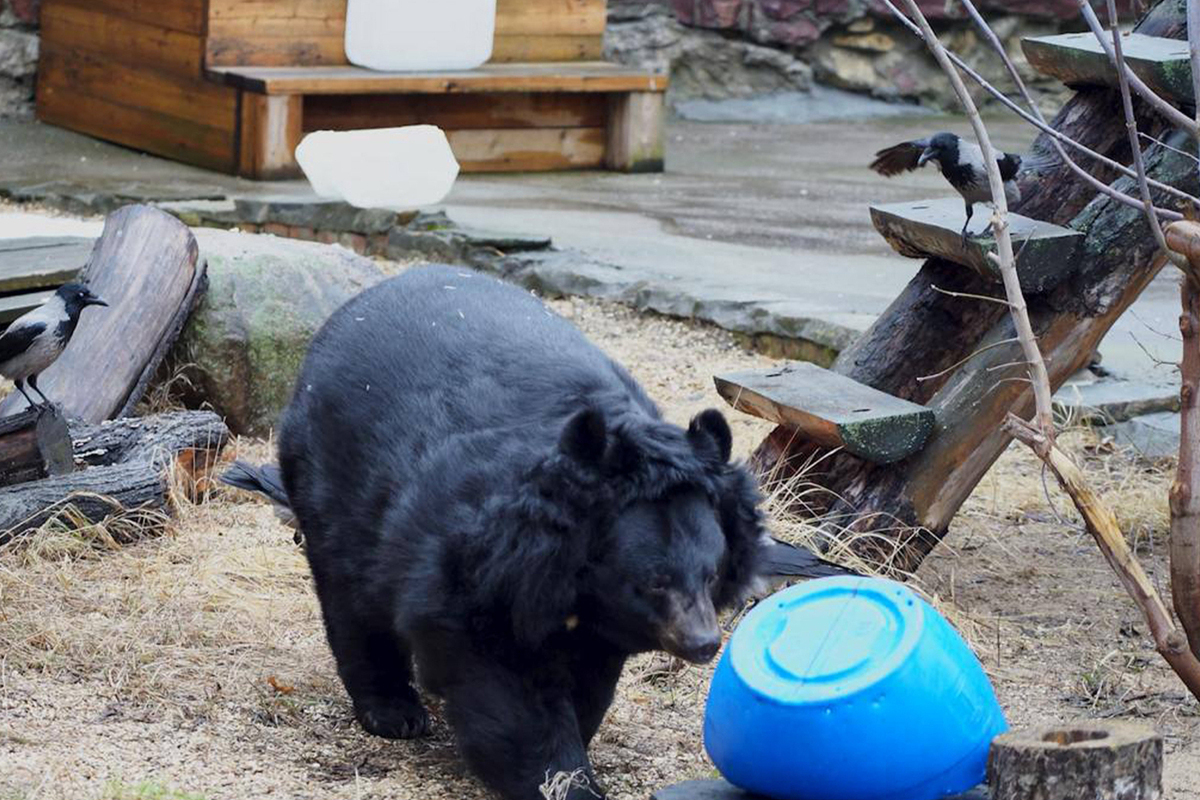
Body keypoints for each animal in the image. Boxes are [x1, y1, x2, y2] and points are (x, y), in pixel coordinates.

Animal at [250, 266, 768, 796]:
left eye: (710, 574)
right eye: (655, 582)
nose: (704, 643)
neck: (573, 571)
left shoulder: (598, 617)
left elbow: (590, 678)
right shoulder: (475, 561)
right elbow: (508, 682)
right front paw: (564, 779)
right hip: (332, 477)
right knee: (350, 596)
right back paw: (394, 712)